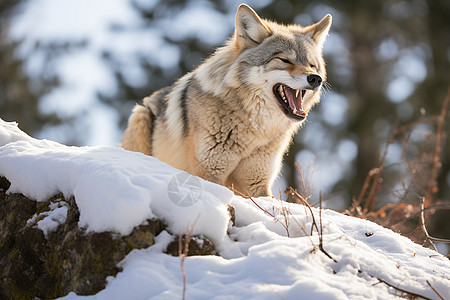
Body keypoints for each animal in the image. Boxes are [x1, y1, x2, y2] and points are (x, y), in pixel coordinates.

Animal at [122, 5, 330, 197]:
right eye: (284, 60)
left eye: (312, 65)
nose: (315, 79)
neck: (255, 131)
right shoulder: (209, 172)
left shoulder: (258, 182)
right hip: (140, 116)